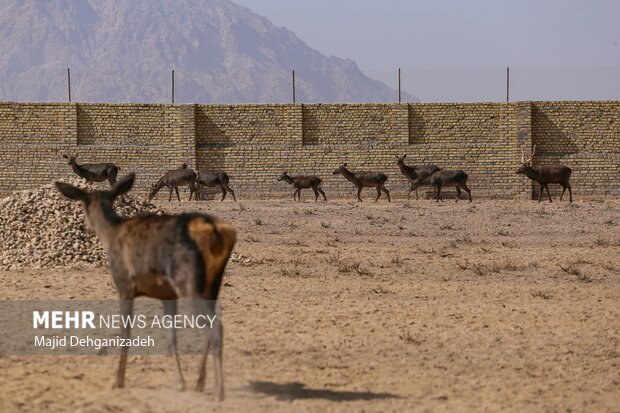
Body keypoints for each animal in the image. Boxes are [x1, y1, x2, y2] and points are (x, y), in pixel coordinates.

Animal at [55, 173, 236, 400]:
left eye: (83, 204)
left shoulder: (124, 285)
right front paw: (180, 383)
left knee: (214, 327)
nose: (84, 227)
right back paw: (200, 383)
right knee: (210, 325)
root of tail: (217, 231)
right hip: (212, 284)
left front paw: (118, 380)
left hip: (187, 281)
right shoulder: (167, 295)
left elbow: (125, 332)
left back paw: (218, 392)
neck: (110, 234)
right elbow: (171, 337)